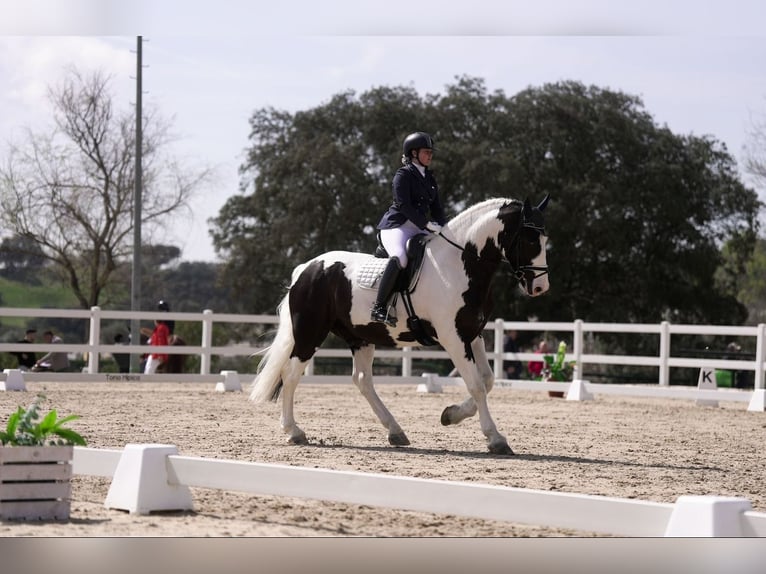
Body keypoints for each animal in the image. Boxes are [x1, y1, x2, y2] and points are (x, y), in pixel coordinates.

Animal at [252, 196, 552, 456]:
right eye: (529, 239)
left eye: (545, 239)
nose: (540, 287)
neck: (459, 264)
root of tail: (307, 268)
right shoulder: (453, 338)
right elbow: (476, 385)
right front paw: (495, 438)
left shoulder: (472, 334)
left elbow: (487, 381)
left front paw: (450, 415)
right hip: (310, 333)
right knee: (291, 374)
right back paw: (294, 432)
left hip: (360, 337)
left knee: (362, 380)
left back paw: (395, 431)